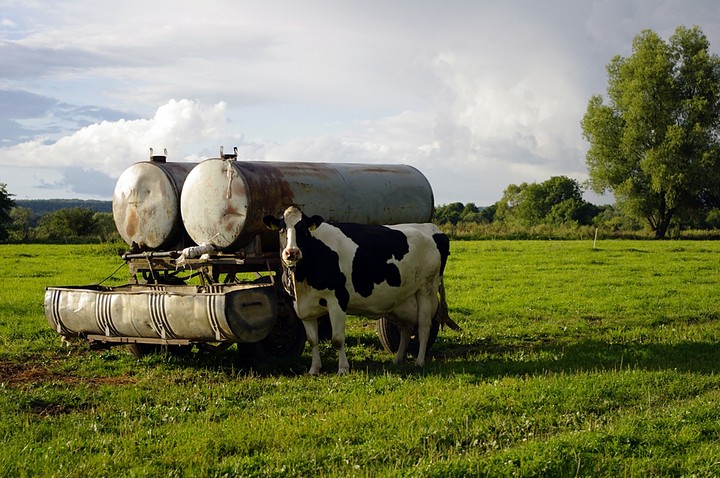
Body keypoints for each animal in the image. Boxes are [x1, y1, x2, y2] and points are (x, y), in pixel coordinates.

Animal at [264, 204, 456, 374]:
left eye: (304, 229)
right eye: (281, 229)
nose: (292, 252)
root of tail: (431, 227)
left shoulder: (338, 300)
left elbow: (337, 339)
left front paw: (343, 368)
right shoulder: (303, 306)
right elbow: (313, 340)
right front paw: (314, 369)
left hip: (426, 289)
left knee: (424, 326)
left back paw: (420, 361)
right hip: (403, 298)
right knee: (407, 328)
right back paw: (398, 359)